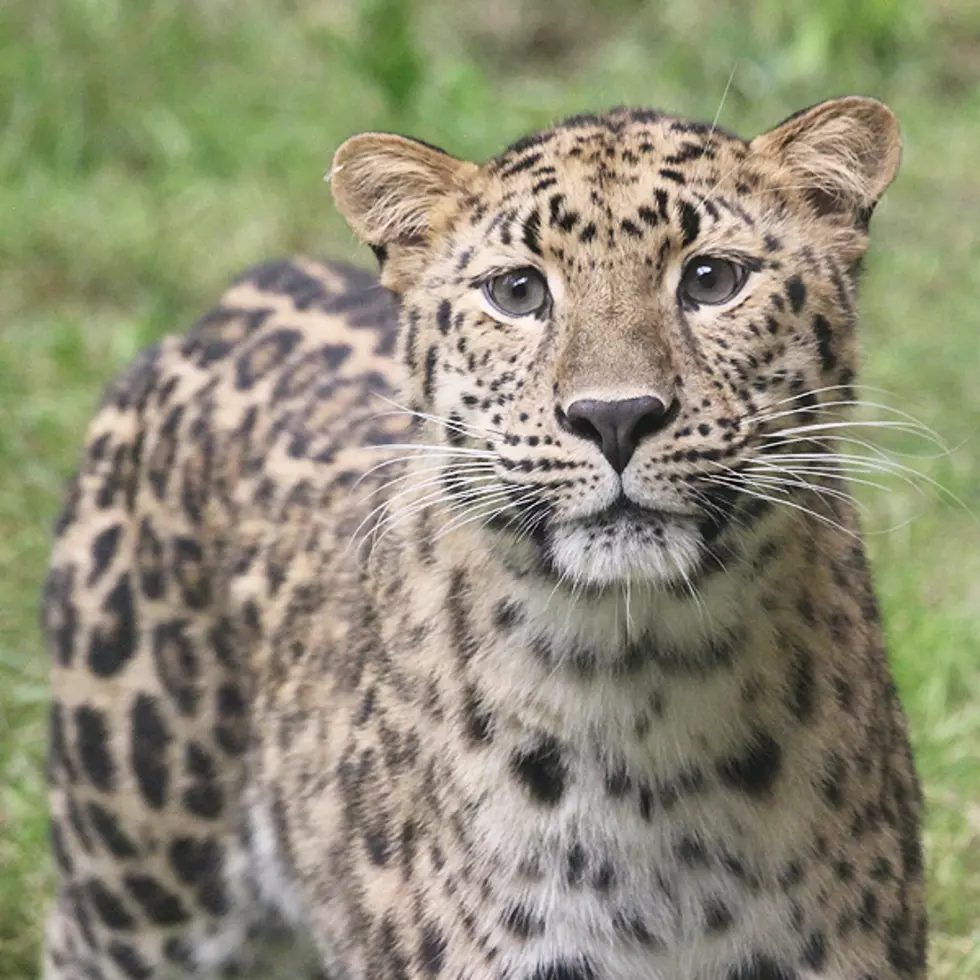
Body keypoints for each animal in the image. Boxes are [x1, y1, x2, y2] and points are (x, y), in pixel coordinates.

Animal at [38, 94, 928, 980]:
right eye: (518, 290)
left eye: (712, 280)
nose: (614, 416)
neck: (650, 685)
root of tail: (233, 300)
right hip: (133, 886)